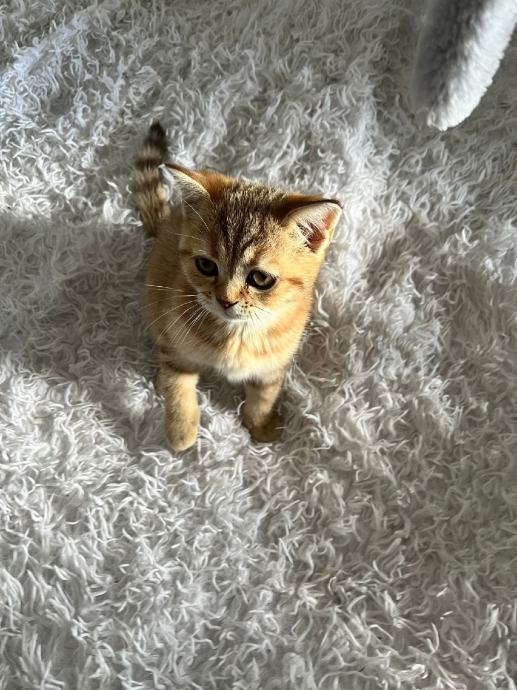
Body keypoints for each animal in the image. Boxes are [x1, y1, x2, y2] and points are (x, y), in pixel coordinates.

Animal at [133, 122, 341, 451]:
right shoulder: (174, 338)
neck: (238, 336)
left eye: (260, 279)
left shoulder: (275, 363)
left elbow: (264, 394)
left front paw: (260, 423)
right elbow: (178, 383)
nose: (225, 300)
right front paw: (180, 429)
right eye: (206, 266)